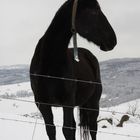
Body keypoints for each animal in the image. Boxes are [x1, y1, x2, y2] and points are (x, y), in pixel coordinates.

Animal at [30, 0, 116, 140]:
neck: (49, 65)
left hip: (93, 103)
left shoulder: (67, 104)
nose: (113, 40)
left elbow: (67, 130)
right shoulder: (43, 105)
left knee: (93, 128)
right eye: (94, 11)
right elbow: (51, 130)